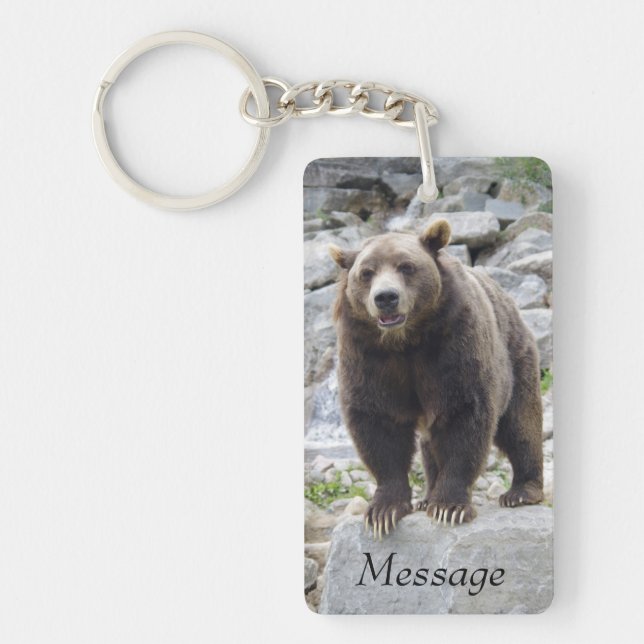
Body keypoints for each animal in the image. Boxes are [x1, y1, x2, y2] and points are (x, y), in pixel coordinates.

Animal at [328, 219, 544, 538]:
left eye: (406, 266)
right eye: (366, 272)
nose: (386, 298)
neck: (405, 341)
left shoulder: (453, 343)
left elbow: (463, 415)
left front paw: (448, 506)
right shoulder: (367, 354)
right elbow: (378, 423)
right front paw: (383, 511)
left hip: (516, 358)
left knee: (521, 424)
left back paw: (521, 491)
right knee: (430, 444)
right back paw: (426, 496)